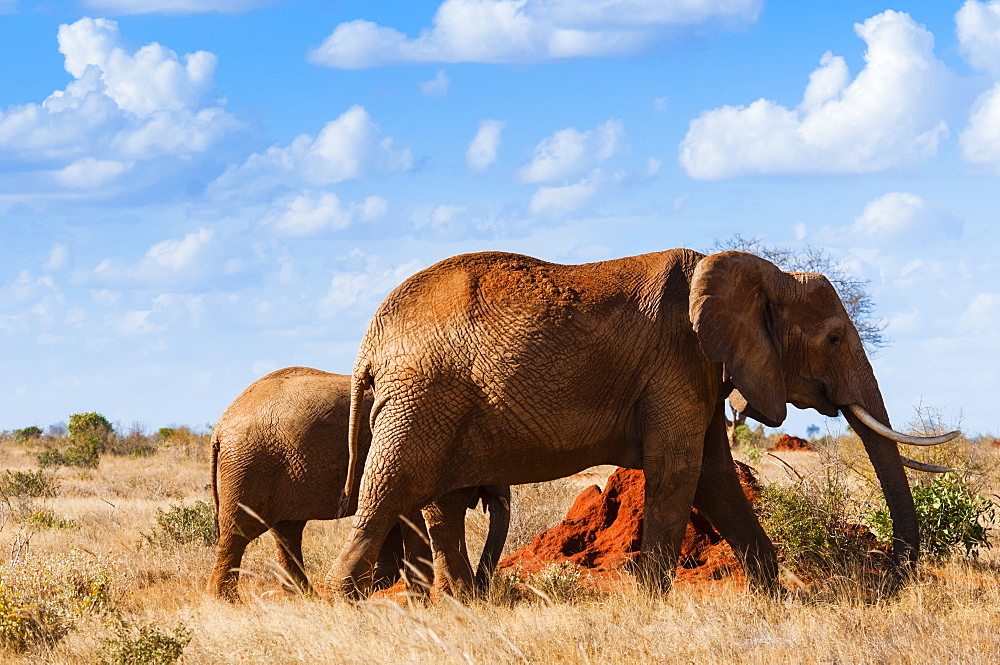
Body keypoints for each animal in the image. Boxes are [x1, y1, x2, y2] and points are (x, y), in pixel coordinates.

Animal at [208, 366, 512, 600]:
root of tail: (220, 427)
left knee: (287, 531)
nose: (483, 588)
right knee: (238, 532)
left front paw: (376, 586)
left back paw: (304, 597)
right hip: (250, 464)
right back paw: (224, 601)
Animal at [332, 249, 956, 596]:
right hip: (422, 396)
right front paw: (654, 601)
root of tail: (369, 342)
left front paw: (772, 598)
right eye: (834, 339)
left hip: (431, 402)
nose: (893, 576)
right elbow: (679, 470)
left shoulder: (699, 370)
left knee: (436, 502)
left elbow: (714, 476)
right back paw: (346, 599)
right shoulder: (676, 362)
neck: (758, 274)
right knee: (388, 491)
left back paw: (460, 604)